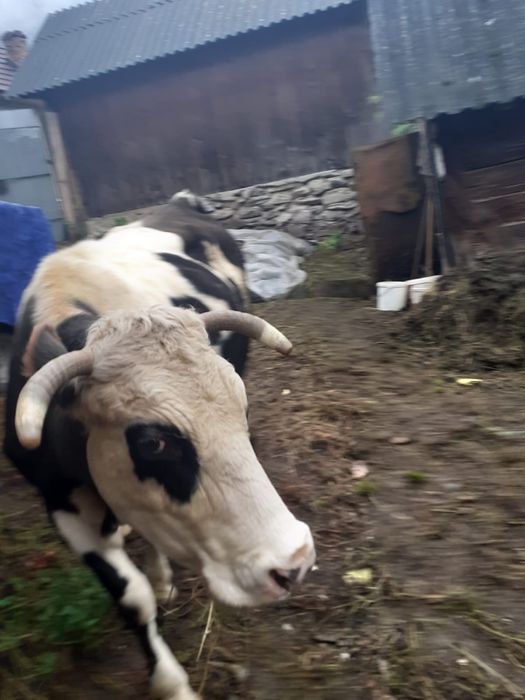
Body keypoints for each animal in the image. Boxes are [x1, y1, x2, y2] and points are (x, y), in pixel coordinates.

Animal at [3, 191, 315, 700]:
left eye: (241, 408)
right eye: (152, 442)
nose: (296, 562)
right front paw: (171, 682)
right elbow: (132, 597)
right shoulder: (59, 502)